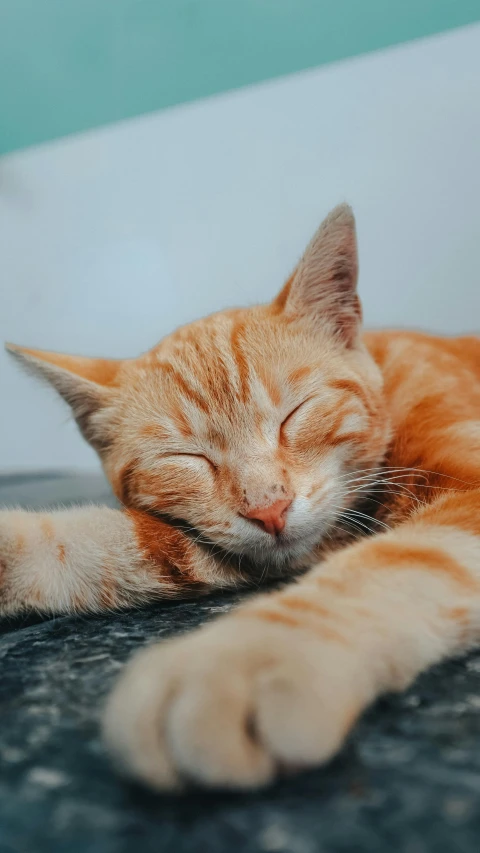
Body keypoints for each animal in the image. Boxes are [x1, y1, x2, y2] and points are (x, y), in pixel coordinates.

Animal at [0, 203, 480, 788]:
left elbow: (400, 562)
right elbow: (100, 545)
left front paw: (254, 659)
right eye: (188, 458)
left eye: (294, 415)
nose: (268, 509)